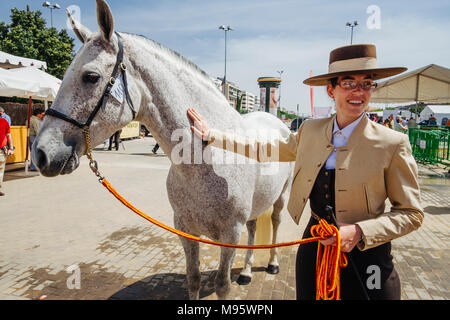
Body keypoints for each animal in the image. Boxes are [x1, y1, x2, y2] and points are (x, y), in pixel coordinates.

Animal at [31, 0, 292, 300]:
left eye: (91, 76)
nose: (41, 153)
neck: (208, 160)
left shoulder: (230, 233)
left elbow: (222, 286)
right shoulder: (185, 229)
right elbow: (193, 279)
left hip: (281, 197)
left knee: (275, 222)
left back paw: (272, 264)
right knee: (253, 226)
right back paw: (247, 272)